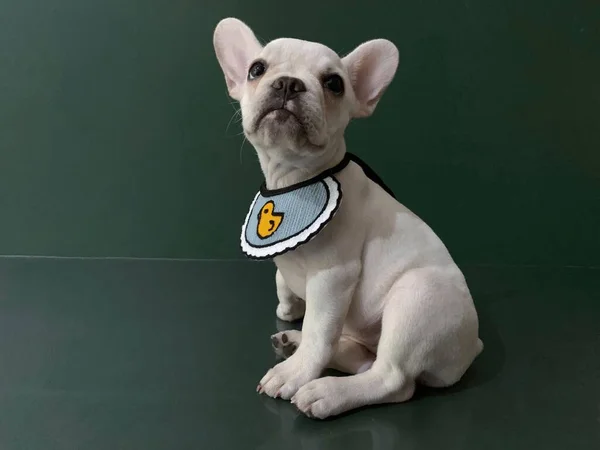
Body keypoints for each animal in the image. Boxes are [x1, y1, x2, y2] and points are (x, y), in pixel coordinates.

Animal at [212, 16, 482, 418]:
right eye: (256, 70)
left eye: (334, 84)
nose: (288, 82)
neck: (295, 179)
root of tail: (472, 346)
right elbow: (283, 282)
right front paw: (289, 310)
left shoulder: (333, 277)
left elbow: (320, 330)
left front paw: (295, 373)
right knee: (363, 357)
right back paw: (295, 343)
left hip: (416, 298)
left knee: (392, 378)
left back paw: (324, 390)